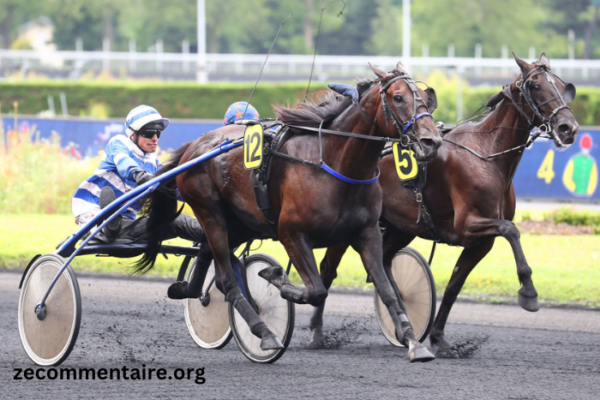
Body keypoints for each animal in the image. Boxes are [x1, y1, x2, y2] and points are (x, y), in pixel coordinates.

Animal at [138, 62, 442, 362]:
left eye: (425, 98)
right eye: (398, 97)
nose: (432, 142)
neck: (335, 164)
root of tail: (194, 146)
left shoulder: (366, 233)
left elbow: (387, 289)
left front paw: (413, 341)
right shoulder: (291, 233)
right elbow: (316, 290)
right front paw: (275, 277)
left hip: (241, 222)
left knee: (206, 253)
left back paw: (186, 289)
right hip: (209, 212)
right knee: (226, 279)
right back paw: (264, 333)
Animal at [312, 54, 580, 356]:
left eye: (562, 86)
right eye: (535, 85)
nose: (568, 128)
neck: (487, 153)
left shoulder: (481, 241)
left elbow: (454, 285)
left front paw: (439, 337)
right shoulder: (467, 224)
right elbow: (511, 230)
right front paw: (529, 293)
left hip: (401, 226)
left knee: (384, 261)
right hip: (350, 226)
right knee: (329, 268)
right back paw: (317, 332)